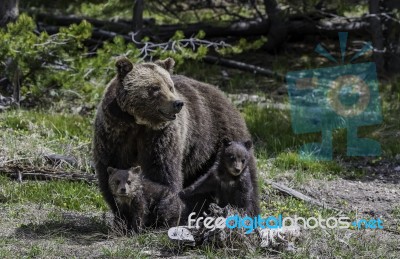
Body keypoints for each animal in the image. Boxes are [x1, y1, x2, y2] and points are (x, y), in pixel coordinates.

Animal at [92, 57, 260, 230]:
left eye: (170, 86)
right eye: (155, 87)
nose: (177, 103)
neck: (138, 122)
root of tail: (222, 94)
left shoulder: (161, 136)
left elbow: (161, 171)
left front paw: (160, 216)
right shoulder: (114, 132)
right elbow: (111, 167)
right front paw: (121, 217)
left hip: (221, 138)